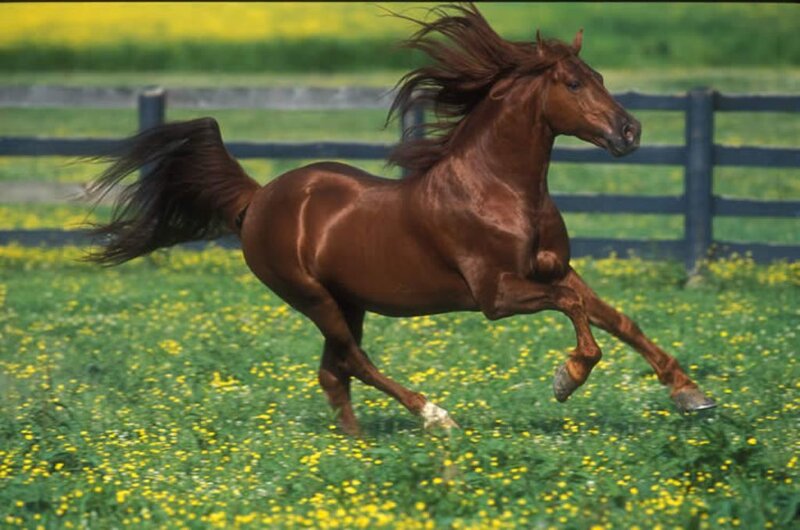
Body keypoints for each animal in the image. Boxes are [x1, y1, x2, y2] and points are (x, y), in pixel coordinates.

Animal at [85, 3, 715, 435]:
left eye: (602, 76)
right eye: (574, 82)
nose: (630, 131)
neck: (500, 190)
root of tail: (259, 198)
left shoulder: (555, 268)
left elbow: (617, 318)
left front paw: (691, 394)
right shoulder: (495, 295)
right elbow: (577, 313)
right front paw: (567, 379)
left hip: (349, 300)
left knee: (334, 372)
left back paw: (358, 445)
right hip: (313, 298)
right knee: (355, 362)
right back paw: (434, 415)